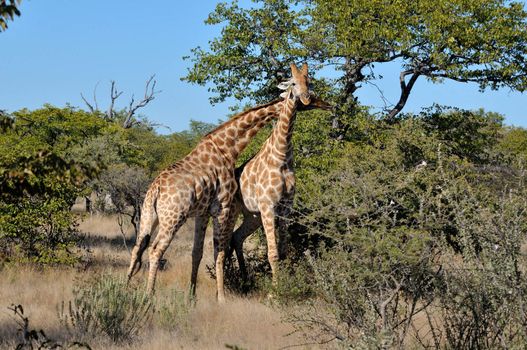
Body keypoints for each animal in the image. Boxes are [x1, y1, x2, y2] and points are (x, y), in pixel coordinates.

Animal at [127, 62, 318, 300]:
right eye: (293, 83)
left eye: (309, 81)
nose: (309, 99)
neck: (228, 148)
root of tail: (156, 188)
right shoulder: (224, 207)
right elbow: (218, 251)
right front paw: (222, 298)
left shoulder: (203, 212)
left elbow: (197, 252)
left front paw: (192, 296)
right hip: (174, 217)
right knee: (155, 250)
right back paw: (148, 295)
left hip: (148, 215)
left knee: (137, 247)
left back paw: (125, 286)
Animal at [227, 63, 334, 284]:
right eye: (293, 83)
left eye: (309, 81)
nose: (306, 98)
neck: (282, 156)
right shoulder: (268, 205)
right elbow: (272, 253)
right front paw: (276, 288)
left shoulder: (286, 205)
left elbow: (283, 250)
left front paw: (288, 282)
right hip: (236, 211)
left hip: (252, 215)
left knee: (237, 237)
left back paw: (245, 279)